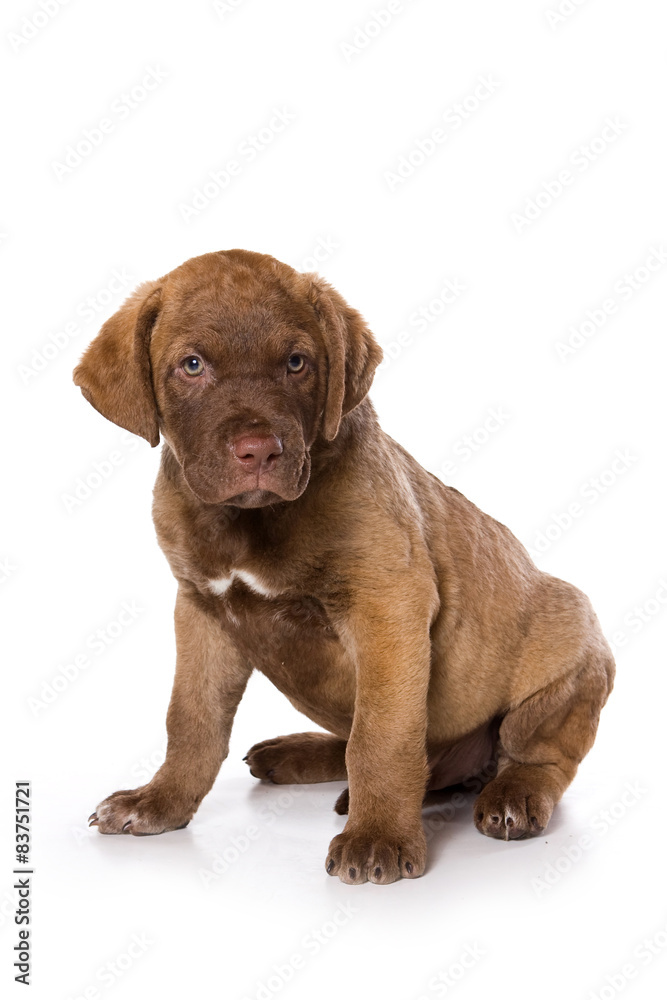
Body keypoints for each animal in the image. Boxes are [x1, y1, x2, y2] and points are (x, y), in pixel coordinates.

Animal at [74, 248, 616, 884]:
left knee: (538, 755)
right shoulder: (202, 611)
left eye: (296, 362)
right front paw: (160, 802)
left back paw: (513, 795)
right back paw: (300, 755)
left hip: (570, 638)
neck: (250, 524)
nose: (259, 451)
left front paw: (378, 837)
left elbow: (381, 735)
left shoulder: (387, 607)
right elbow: (191, 721)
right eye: (191, 365)